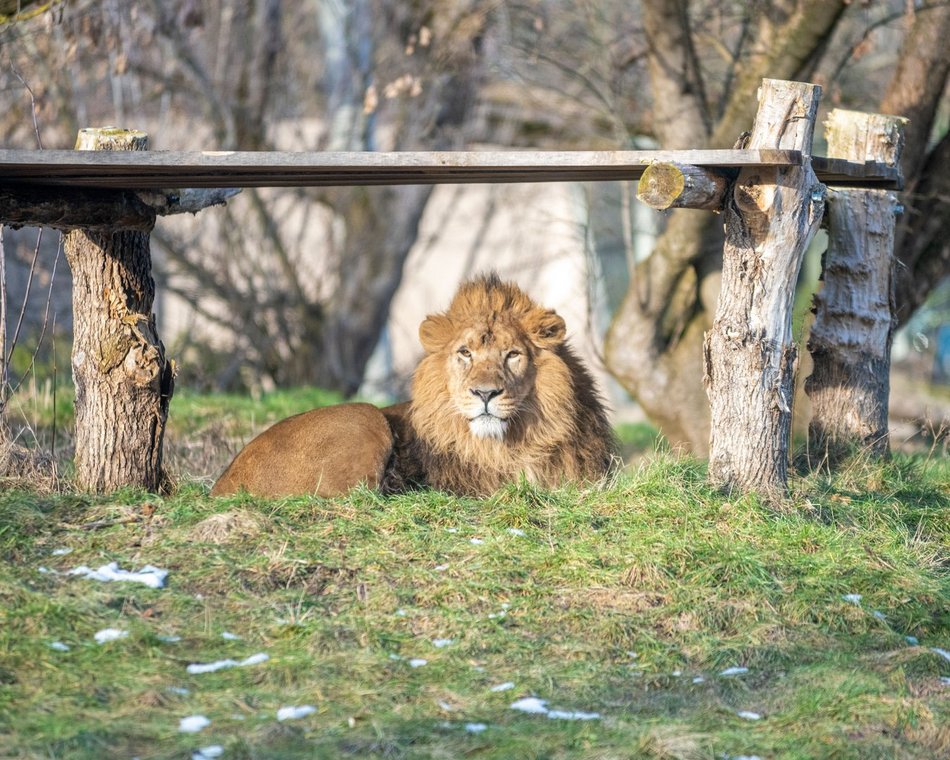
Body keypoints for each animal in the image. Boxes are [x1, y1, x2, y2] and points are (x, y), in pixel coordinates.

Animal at [210, 274, 616, 498]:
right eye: (465, 353)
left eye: (512, 354)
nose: (485, 394)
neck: (511, 443)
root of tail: (222, 483)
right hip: (363, 418)